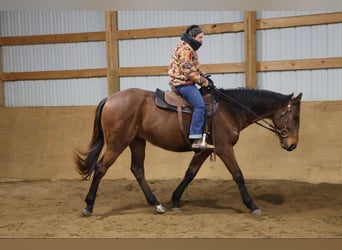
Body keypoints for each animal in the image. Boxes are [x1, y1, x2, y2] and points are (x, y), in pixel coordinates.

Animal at [75, 87, 302, 216]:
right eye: (295, 117)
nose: (292, 145)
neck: (229, 110)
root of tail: (109, 99)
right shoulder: (224, 148)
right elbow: (238, 175)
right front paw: (252, 205)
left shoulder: (203, 151)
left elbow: (190, 173)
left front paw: (175, 200)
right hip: (118, 142)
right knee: (101, 168)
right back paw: (88, 205)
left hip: (137, 142)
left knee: (137, 170)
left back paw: (157, 204)